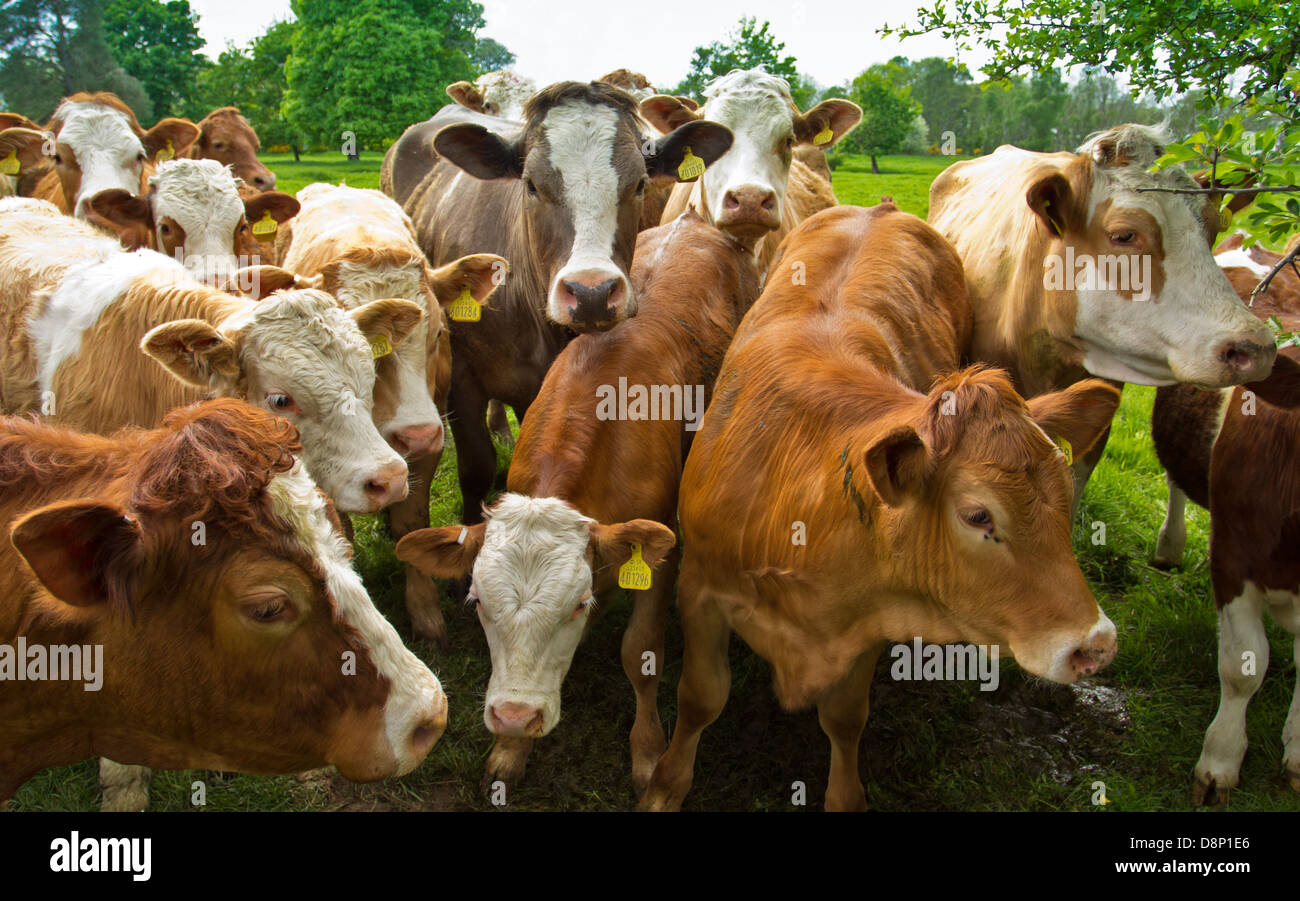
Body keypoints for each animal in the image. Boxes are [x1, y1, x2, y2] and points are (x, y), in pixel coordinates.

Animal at [276, 182, 505, 644]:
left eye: (440, 333)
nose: (415, 433)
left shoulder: (431, 441)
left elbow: (411, 523)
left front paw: (425, 610)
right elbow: (341, 531)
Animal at [395, 211, 762, 792]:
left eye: (577, 603)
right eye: (477, 602)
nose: (514, 716)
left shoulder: (663, 549)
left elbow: (641, 651)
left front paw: (647, 752)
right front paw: (511, 750)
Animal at [637, 204, 1122, 811]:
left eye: (1065, 498)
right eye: (978, 515)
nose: (1096, 645)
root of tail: (879, 207)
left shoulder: (870, 614)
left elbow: (845, 719)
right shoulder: (700, 588)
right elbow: (701, 697)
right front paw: (664, 787)